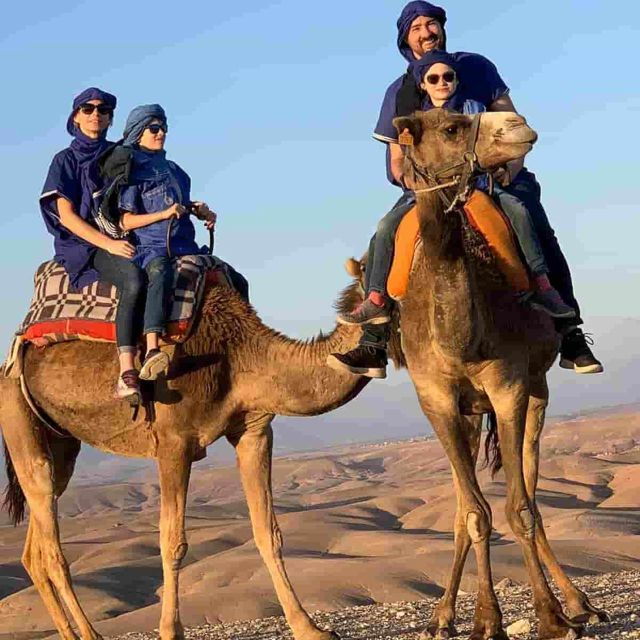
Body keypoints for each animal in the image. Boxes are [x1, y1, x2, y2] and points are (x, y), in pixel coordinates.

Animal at [0, 282, 371, 640]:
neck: (236, 350)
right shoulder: (174, 441)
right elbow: (173, 543)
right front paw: (170, 631)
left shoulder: (253, 430)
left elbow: (269, 532)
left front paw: (310, 629)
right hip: (16, 412)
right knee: (50, 541)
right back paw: (90, 635)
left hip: (62, 443)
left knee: (38, 537)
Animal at [337, 109, 608, 640]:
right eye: (450, 129)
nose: (517, 123)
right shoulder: (437, 401)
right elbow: (474, 514)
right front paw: (483, 620)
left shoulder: (509, 388)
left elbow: (519, 509)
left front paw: (551, 617)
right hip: (466, 412)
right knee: (467, 508)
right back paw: (443, 615)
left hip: (536, 391)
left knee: (531, 491)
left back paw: (578, 603)